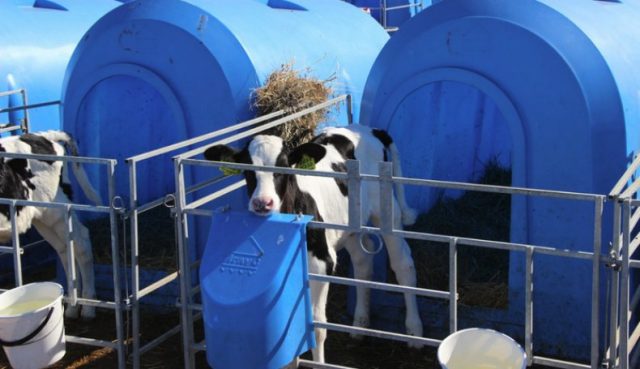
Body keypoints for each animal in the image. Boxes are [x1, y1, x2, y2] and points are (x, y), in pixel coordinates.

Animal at [0, 132, 100, 320]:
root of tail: (42, 135)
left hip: (57, 210)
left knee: (81, 243)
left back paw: (88, 308)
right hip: (43, 219)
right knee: (65, 248)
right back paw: (73, 307)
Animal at [205, 125, 422, 360]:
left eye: (283, 167)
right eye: (246, 170)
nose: (263, 203)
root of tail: (368, 129)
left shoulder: (322, 262)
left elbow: (317, 328)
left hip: (386, 211)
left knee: (403, 264)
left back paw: (414, 332)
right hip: (348, 227)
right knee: (363, 261)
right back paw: (360, 324)